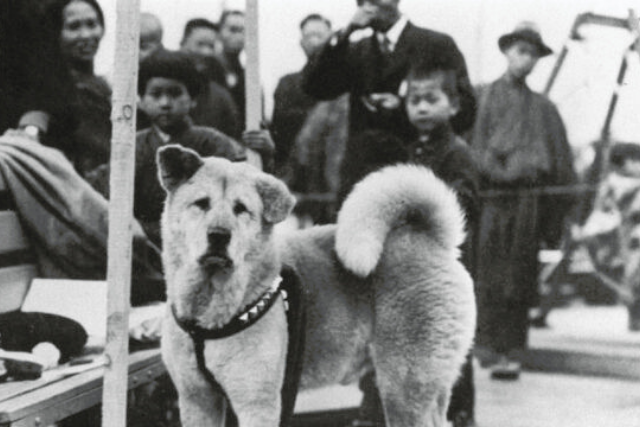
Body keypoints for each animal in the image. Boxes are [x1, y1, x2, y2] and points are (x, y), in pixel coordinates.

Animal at [156, 145, 476, 426]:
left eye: (241, 209)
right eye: (201, 203)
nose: (219, 235)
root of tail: (430, 239)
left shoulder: (257, 403)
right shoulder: (197, 399)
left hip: (403, 385)